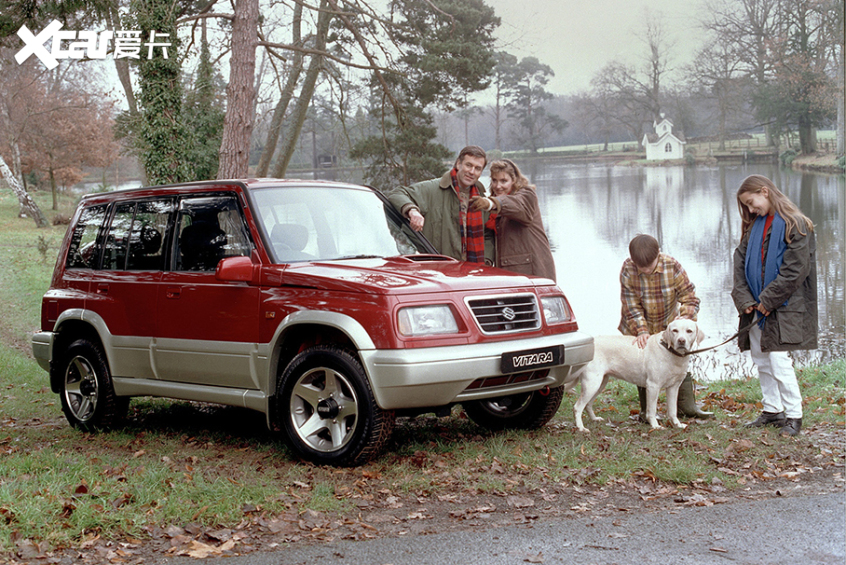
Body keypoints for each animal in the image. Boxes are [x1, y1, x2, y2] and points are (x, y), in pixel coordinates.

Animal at [568, 318, 704, 432]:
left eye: (689, 331)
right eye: (675, 331)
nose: (681, 341)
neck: (670, 351)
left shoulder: (674, 387)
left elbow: (673, 410)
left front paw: (677, 424)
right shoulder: (653, 386)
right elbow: (652, 410)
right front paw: (655, 426)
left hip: (600, 383)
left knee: (587, 404)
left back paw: (594, 419)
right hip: (592, 384)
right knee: (577, 407)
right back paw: (581, 428)